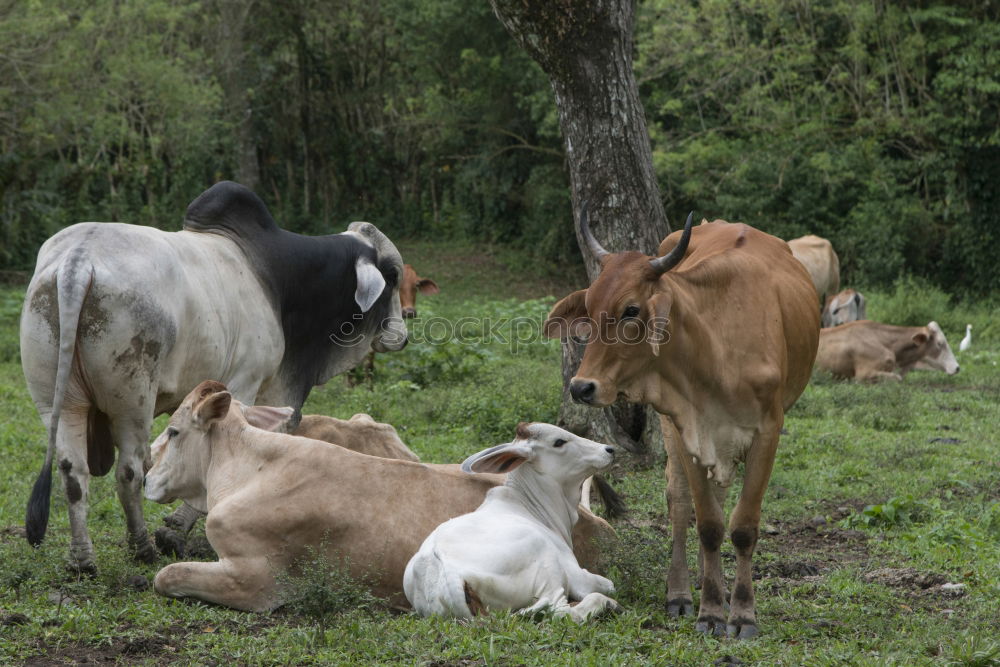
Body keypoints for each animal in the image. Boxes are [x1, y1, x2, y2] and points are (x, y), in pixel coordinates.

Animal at [402, 426, 620, 624]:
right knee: (561, 611)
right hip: (545, 558)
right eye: (559, 442)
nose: (609, 449)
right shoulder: (577, 575)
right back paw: (609, 604)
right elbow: (609, 583)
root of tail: (447, 573)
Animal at [548, 211, 820, 640]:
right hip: (672, 428)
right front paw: (710, 611)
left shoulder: (767, 432)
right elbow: (707, 524)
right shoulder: (688, 426)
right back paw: (680, 594)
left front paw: (742, 615)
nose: (581, 387)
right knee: (678, 504)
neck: (718, 347)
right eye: (589, 306)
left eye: (631, 310)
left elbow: (743, 526)